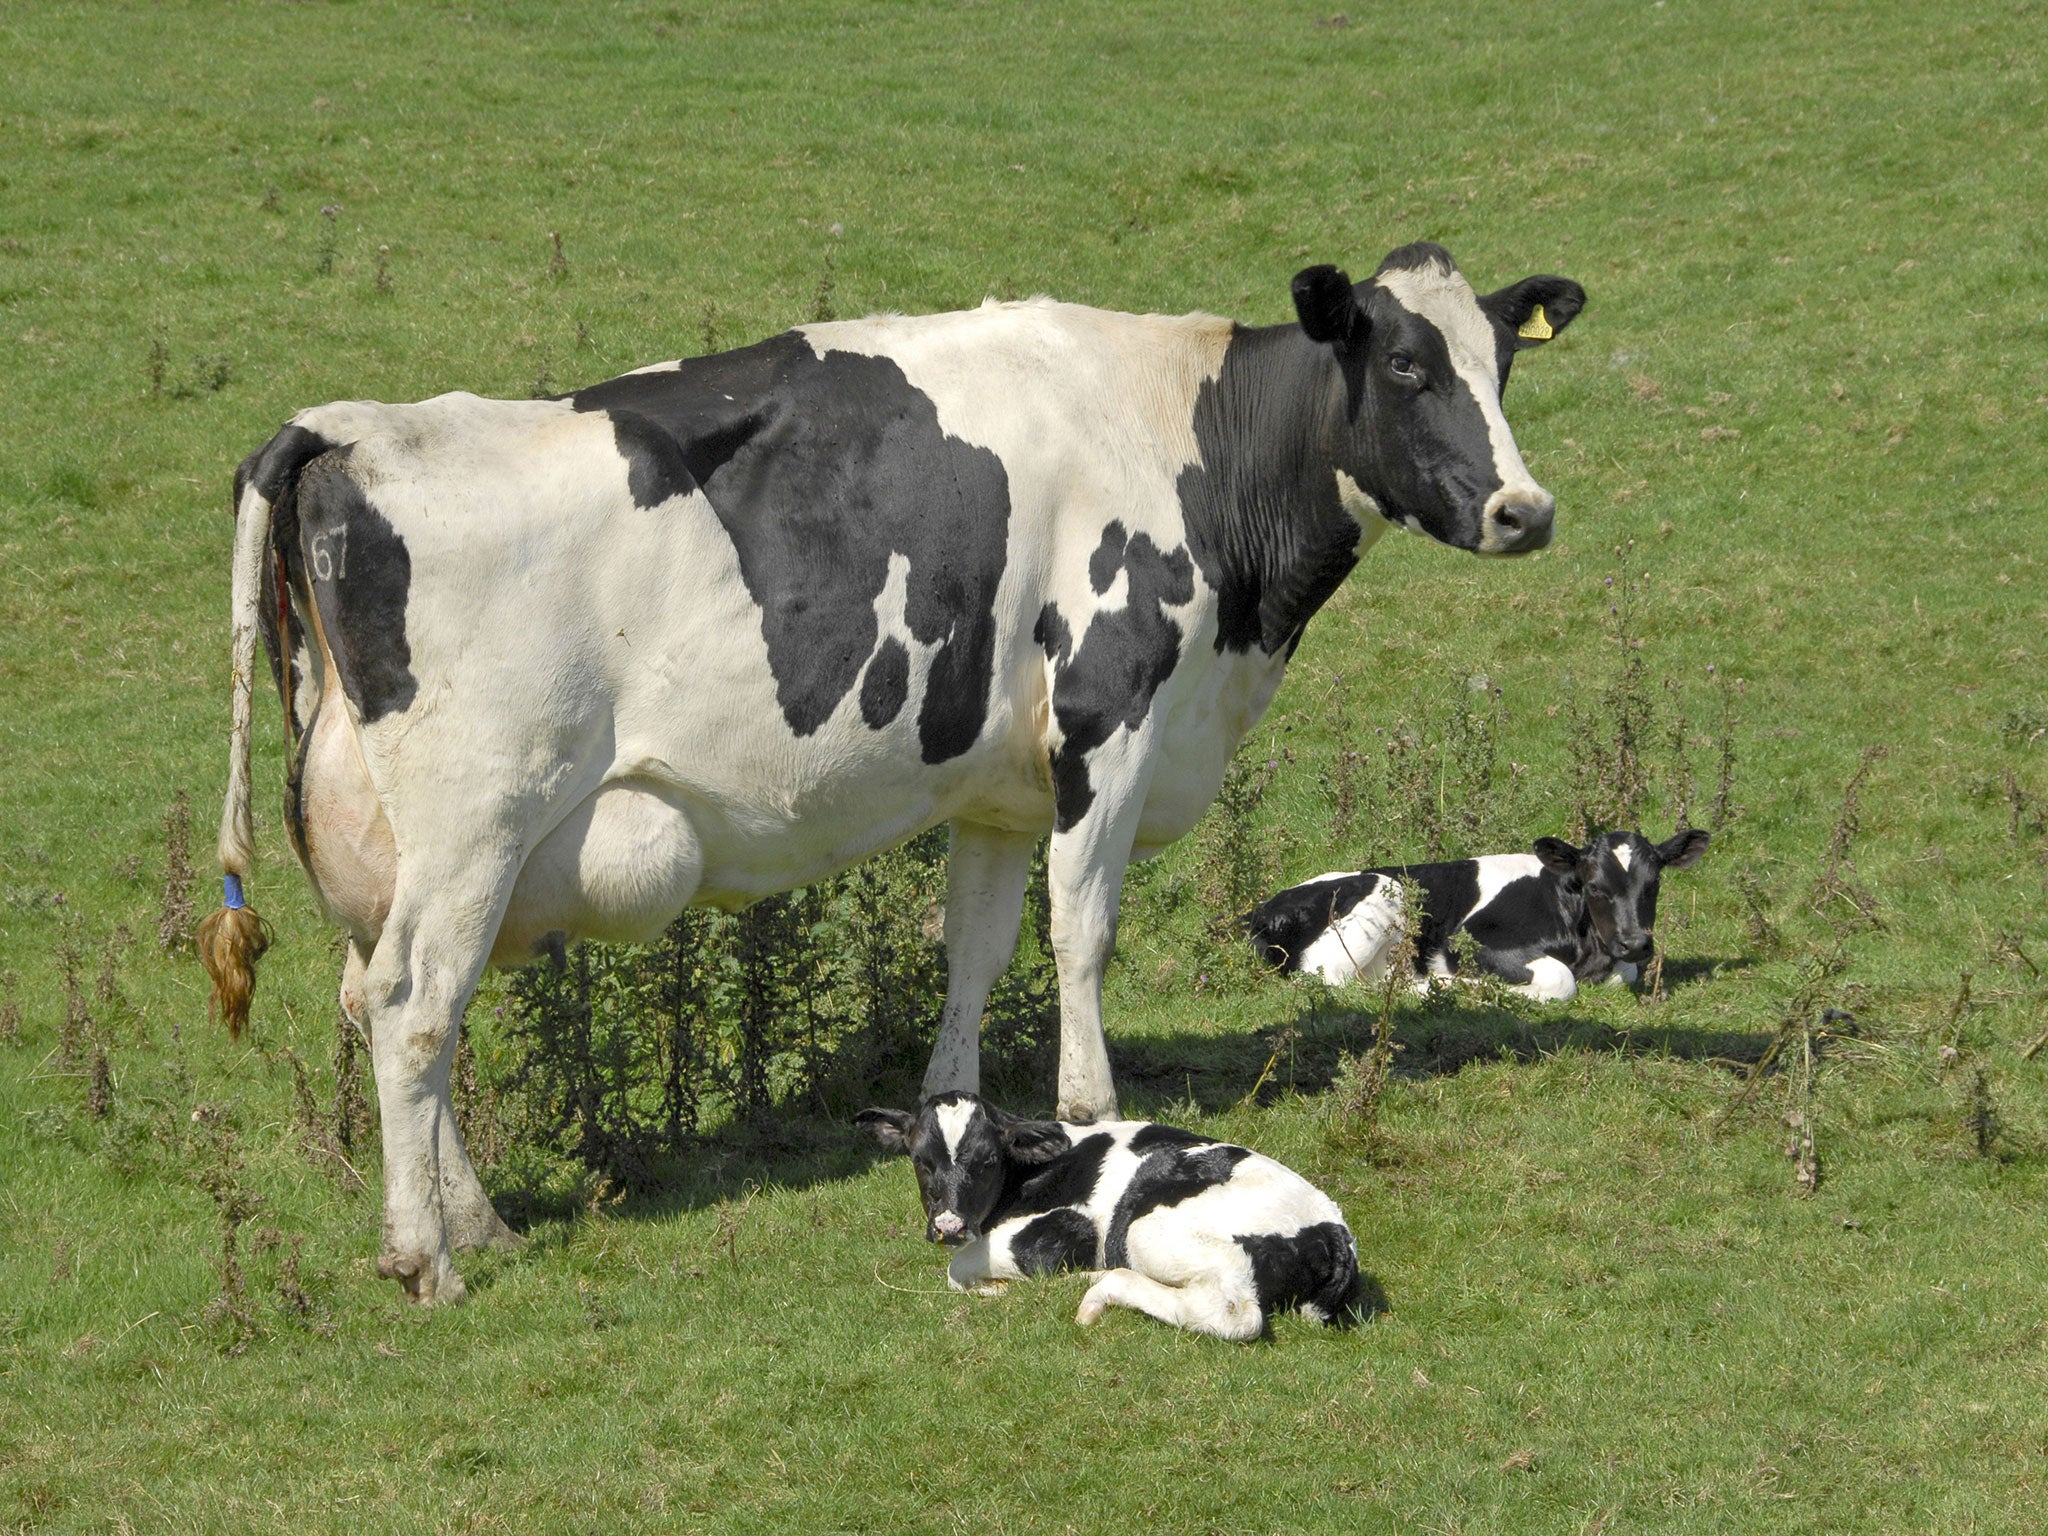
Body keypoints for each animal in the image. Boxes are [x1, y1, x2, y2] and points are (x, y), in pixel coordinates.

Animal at [203, 246, 1581, 1302]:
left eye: (1501, 363)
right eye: (1404, 366)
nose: (1523, 509)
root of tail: (351, 428)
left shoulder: (998, 786)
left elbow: (974, 949)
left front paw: (951, 1113)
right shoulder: (1109, 721)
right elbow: (1080, 933)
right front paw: (1092, 1108)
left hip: (398, 854)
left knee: (383, 1002)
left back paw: (480, 1223)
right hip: (475, 825)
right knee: (412, 1009)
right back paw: (426, 1256)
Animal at [851, 1097, 1359, 1343]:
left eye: (988, 1161)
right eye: (921, 1160)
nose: (950, 1227)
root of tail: (1332, 1225)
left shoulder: (1067, 1227)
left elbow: (959, 1271)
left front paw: (996, 1288)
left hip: (1147, 1230)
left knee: (1234, 1314)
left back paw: (1100, 1289)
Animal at [1245, 831, 1712, 999]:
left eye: (1653, 884)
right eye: (1595, 885)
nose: (1635, 943)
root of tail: (1260, 910)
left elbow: (1624, 975)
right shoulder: (1473, 940)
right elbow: (1561, 981)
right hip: (1388, 891)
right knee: (1331, 979)